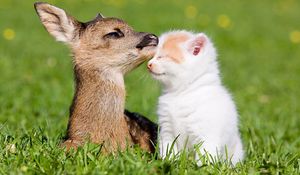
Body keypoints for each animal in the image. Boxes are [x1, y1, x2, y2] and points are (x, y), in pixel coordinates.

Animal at [148, 30, 244, 165]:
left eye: (161, 57)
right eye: (152, 56)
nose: (149, 64)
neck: (181, 93)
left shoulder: (206, 134)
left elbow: (205, 155)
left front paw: (202, 167)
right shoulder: (167, 130)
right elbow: (169, 149)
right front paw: (170, 162)